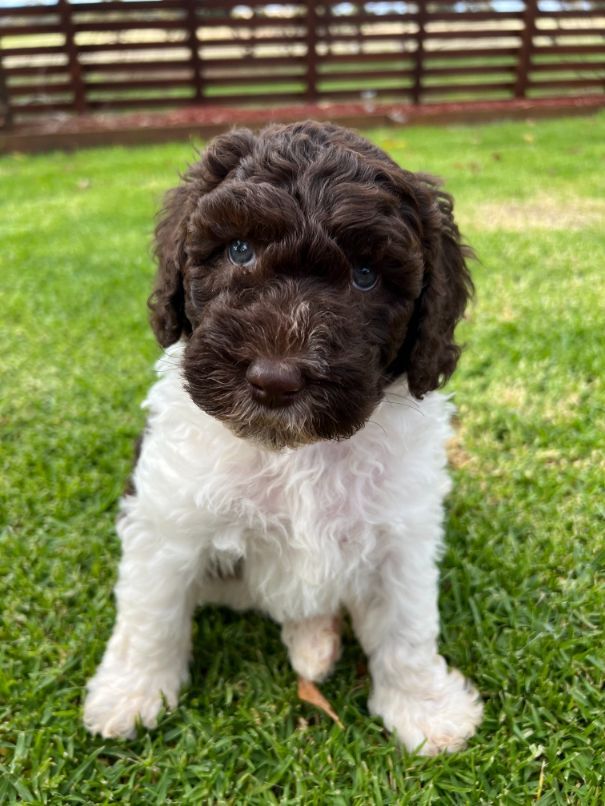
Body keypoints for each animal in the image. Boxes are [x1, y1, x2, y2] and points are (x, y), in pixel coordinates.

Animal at [84, 120, 482, 756]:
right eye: (239, 250)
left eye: (365, 276)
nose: (275, 379)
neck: (295, 451)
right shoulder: (166, 521)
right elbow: (151, 613)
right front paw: (132, 694)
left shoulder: (403, 536)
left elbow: (407, 627)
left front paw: (424, 708)